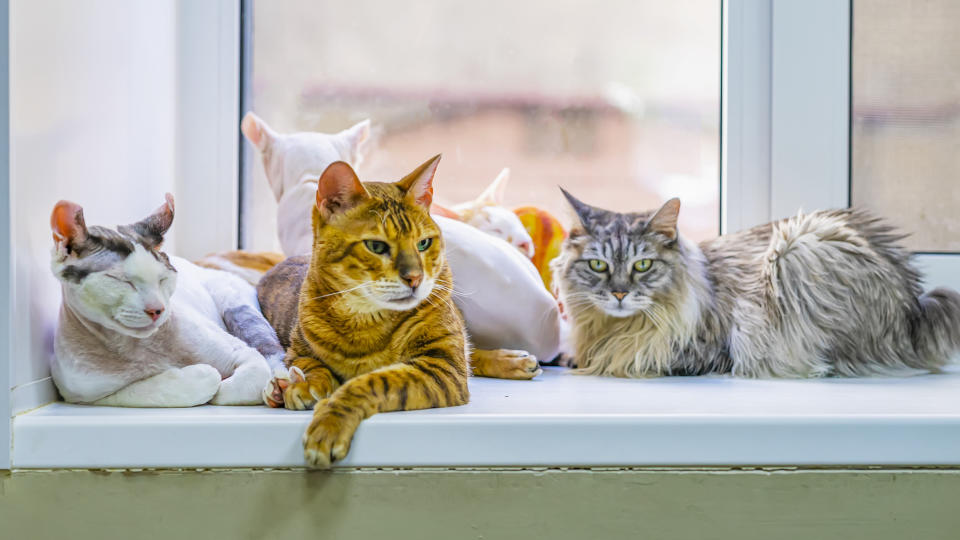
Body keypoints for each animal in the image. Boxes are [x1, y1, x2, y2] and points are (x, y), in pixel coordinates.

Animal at [49, 194, 282, 404]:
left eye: (162, 279)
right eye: (122, 280)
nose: (157, 309)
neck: (137, 348)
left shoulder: (245, 354)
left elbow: (238, 386)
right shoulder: (84, 396)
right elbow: (158, 390)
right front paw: (191, 374)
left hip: (240, 311)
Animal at [255, 155, 540, 468]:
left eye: (423, 243)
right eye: (376, 246)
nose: (415, 278)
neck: (366, 319)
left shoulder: (443, 367)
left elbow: (374, 382)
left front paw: (331, 421)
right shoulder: (299, 351)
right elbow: (314, 366)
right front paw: (306, 386)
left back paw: (512, 359)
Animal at [552, 190, 960, 380]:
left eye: (643, 265)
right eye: (598, 265)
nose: (619, 294)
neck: (615, 328)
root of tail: (916, 304)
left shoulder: (703, 349)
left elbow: (627, 360)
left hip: (796, 250)